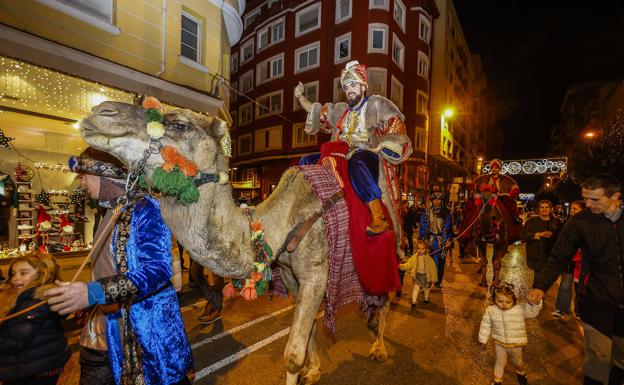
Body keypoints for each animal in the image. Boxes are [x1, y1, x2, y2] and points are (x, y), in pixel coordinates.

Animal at [78, 101, 390, 384]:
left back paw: (379, 348)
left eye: (179, 124)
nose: (101, 111)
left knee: (383, 296)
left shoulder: (316, 271)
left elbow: (292, 354)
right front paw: (313, 370)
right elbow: (310, 325)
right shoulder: (290, 273)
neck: (281, 224)